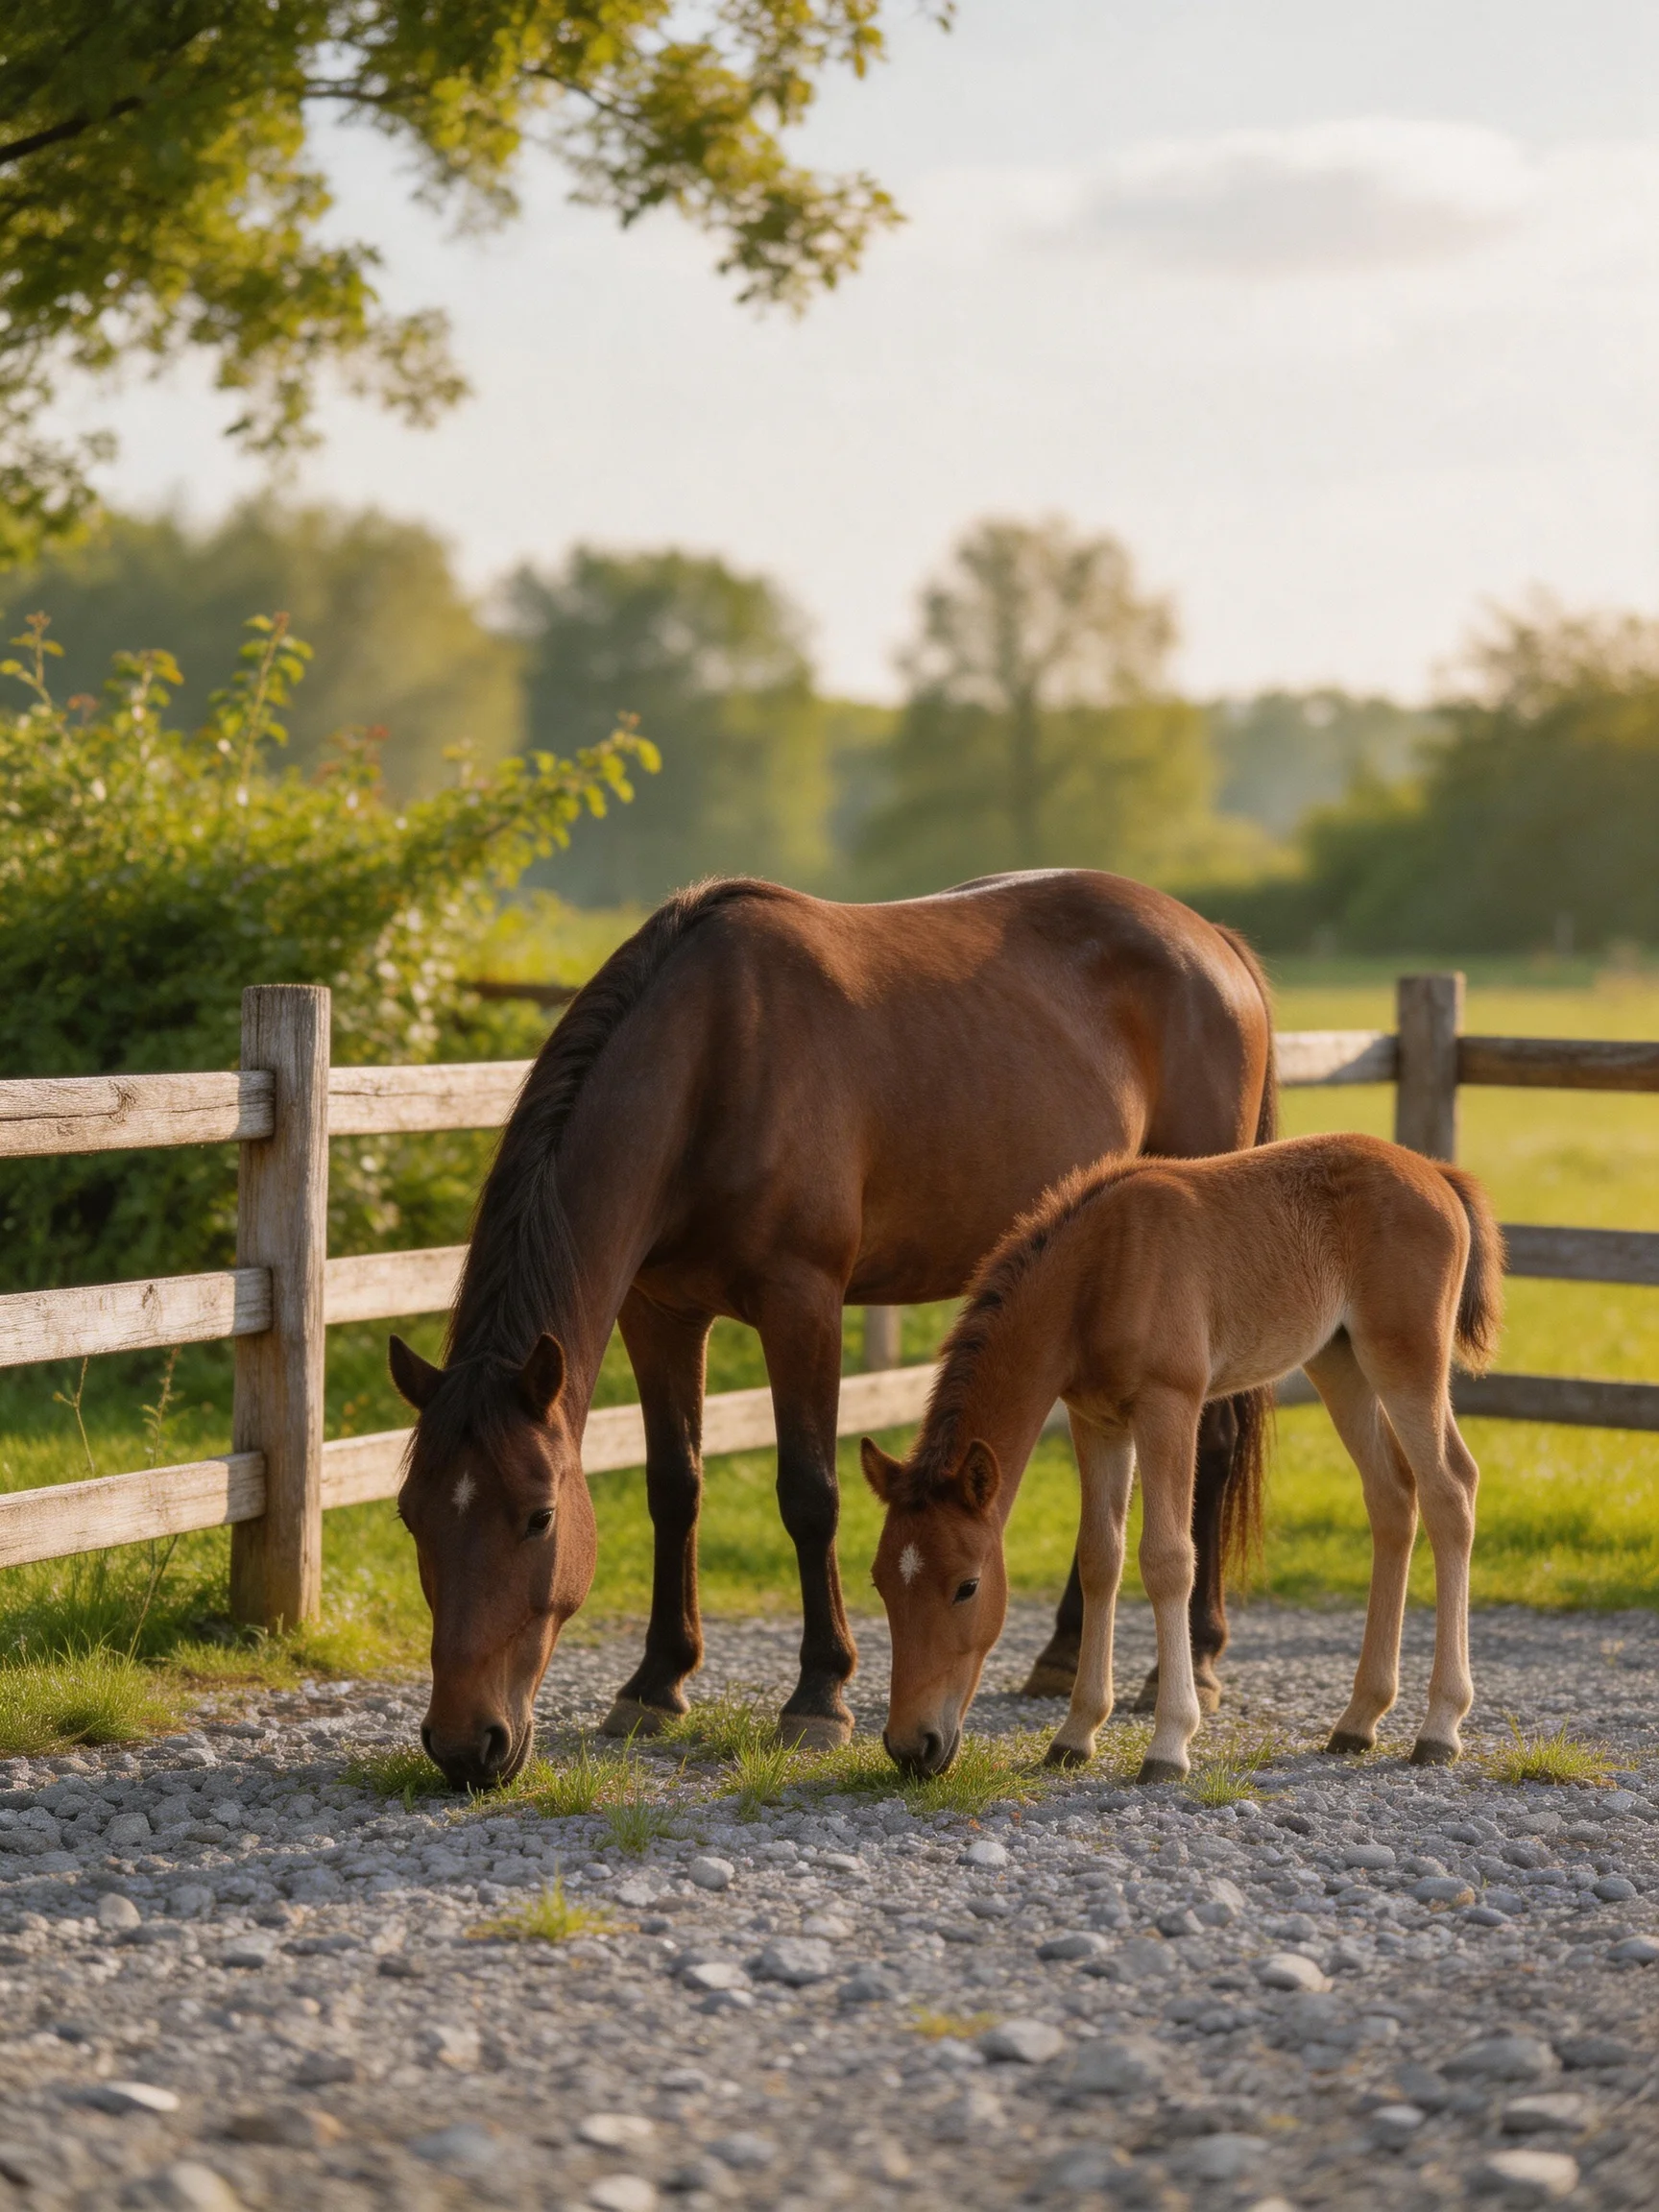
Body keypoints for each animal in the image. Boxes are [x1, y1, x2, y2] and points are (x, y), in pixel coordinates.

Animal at [388, 870, 1277, 1791]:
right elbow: (674, 1486)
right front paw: (656, 1682)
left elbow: (809, 1494)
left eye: (539, 1518)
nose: (466, 1744)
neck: (715, 1059)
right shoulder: (659, 1311)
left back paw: (1195, 1661)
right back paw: (1063, 1655)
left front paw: (819, 1695)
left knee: (1211, 1449)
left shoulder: (801, 1300)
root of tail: (1211, 940)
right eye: (412, 1516)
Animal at [862, 1131, 1503, 1783]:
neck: (1099, 1272)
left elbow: (1167, 1559)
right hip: (1340, 1361)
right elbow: (1099, 1558)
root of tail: (1436, 1173)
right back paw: (1359, 1719)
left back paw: (1440, 1727)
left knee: (1451, 1490)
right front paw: (1074, 1735)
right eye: (881, 1581)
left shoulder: (1169, 1404)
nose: (912, 1747)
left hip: (1405, 1358)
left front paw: (1169, 1742)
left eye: (967, 1587)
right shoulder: (1095, 1421)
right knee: (1393, 1496)